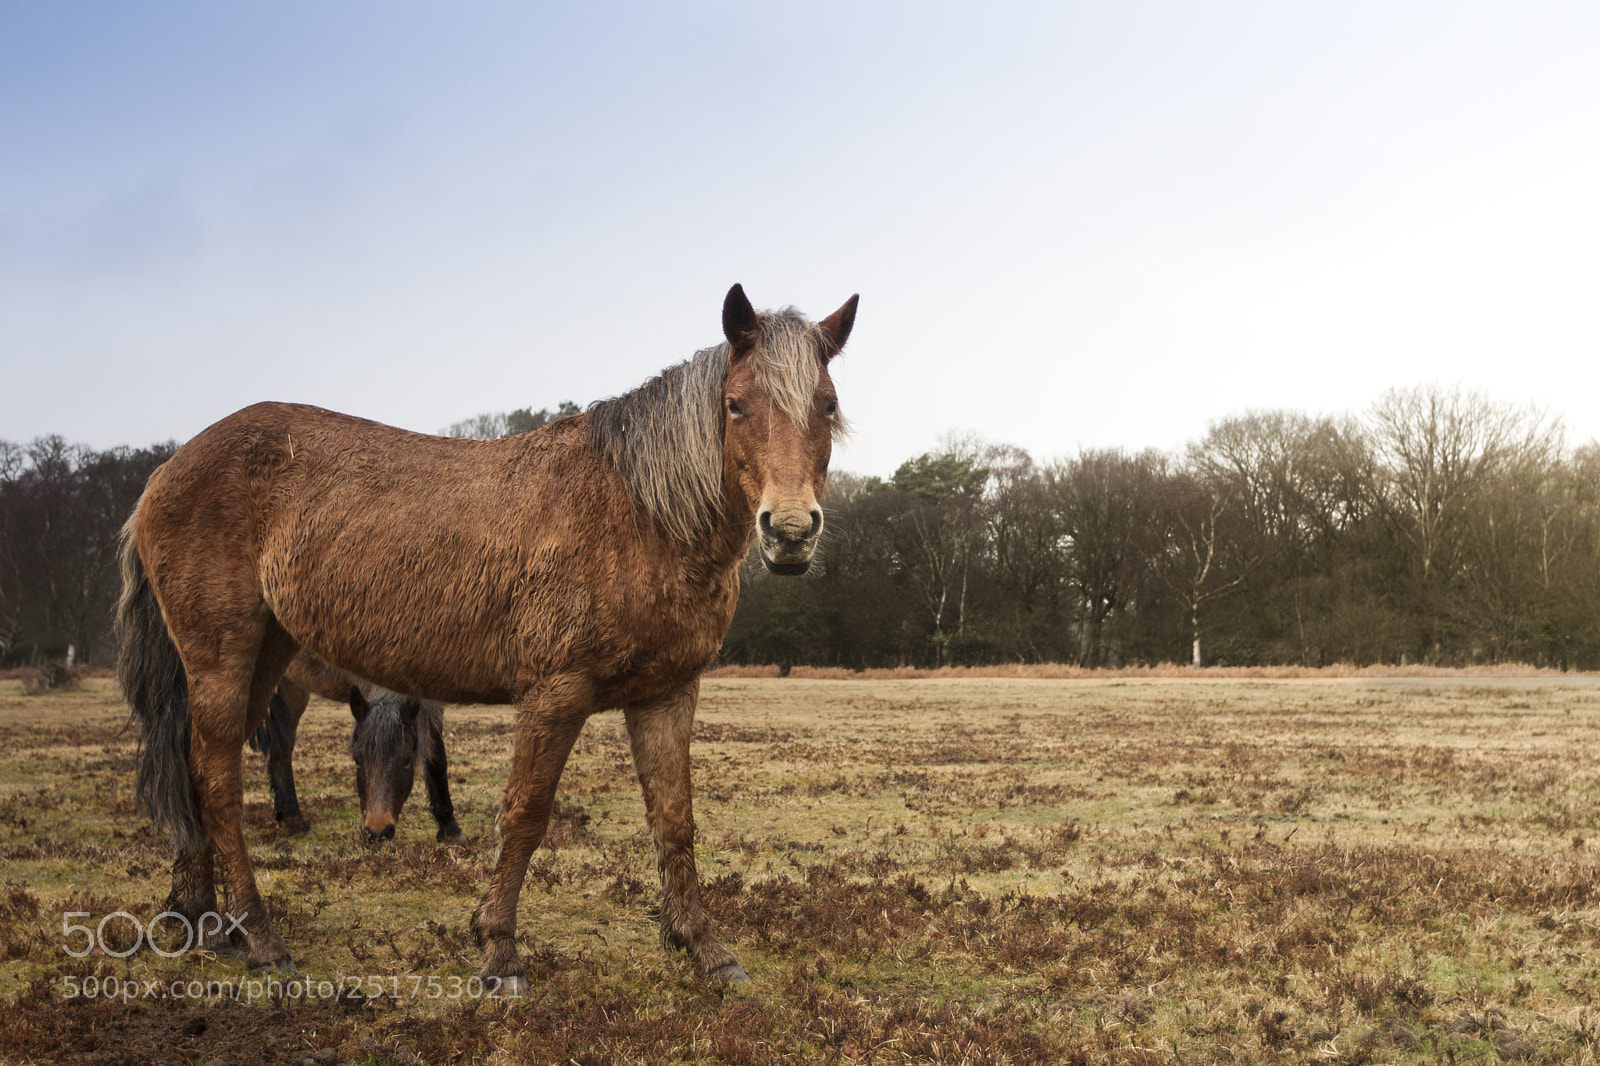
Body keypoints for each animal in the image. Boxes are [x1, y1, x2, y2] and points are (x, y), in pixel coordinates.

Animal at [248, 651, 461, 843]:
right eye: (357, 759)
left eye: (407, 760)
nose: (378, 833)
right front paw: (449, 826)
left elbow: (435, 755)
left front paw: (448, 827)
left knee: (282, 742)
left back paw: (294, 820)